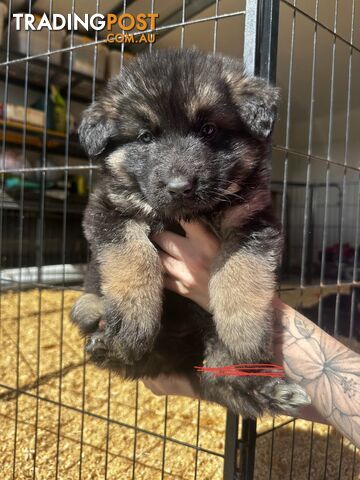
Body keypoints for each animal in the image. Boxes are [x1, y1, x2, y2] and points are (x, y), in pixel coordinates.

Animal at [71, 47, 310, 416]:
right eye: (145, 137)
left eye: (209, 129)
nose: (179, 187)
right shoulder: (109, 210)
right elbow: (133, 258)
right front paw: (133, 319)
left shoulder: (253, 221)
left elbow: (240, 274)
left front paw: (244, 333)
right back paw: (106, 342)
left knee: (220, 377)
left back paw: (271, 388)